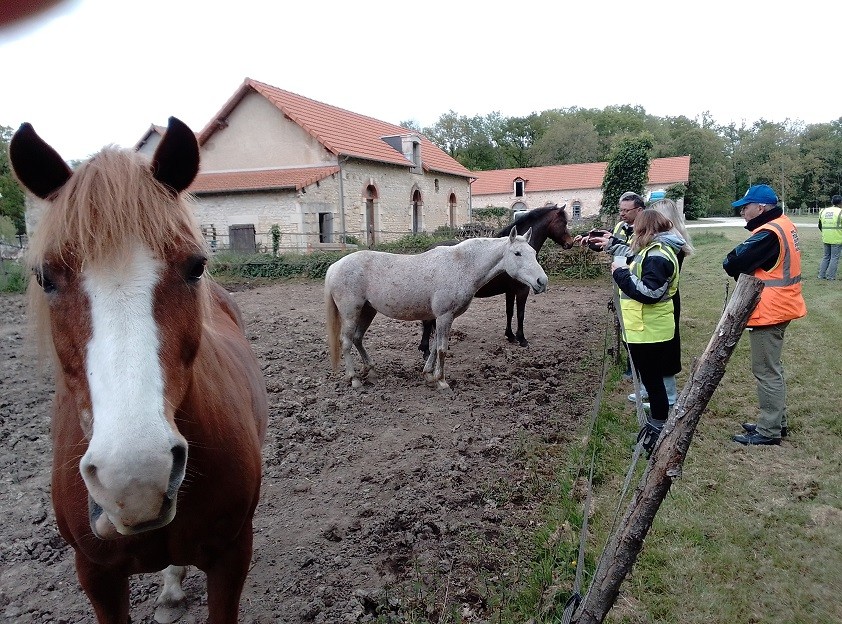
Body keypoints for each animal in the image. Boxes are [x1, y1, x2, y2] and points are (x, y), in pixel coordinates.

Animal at [324, 227, 548, 388]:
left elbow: (433, 347)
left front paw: (428, 375)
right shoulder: (444, 316)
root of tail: (334, 266)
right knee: (346, 342)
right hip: (351, 313)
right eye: (517, 253)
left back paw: (369, 370)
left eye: (533, 252)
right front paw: (441, 381)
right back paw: (354, 379)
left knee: (357, 338)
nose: (542, 281)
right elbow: (441, 349)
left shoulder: (443, 318)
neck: (462, 266)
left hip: (368, 311)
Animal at [416, 205, 576, 358]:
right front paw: (522, 339)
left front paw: (510, 336)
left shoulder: (510, 292)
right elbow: (520, 314)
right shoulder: (522, 290)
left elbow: (509, 312)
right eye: (563, 223)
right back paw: (426, 350)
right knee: (428, 322)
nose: (570, 243)